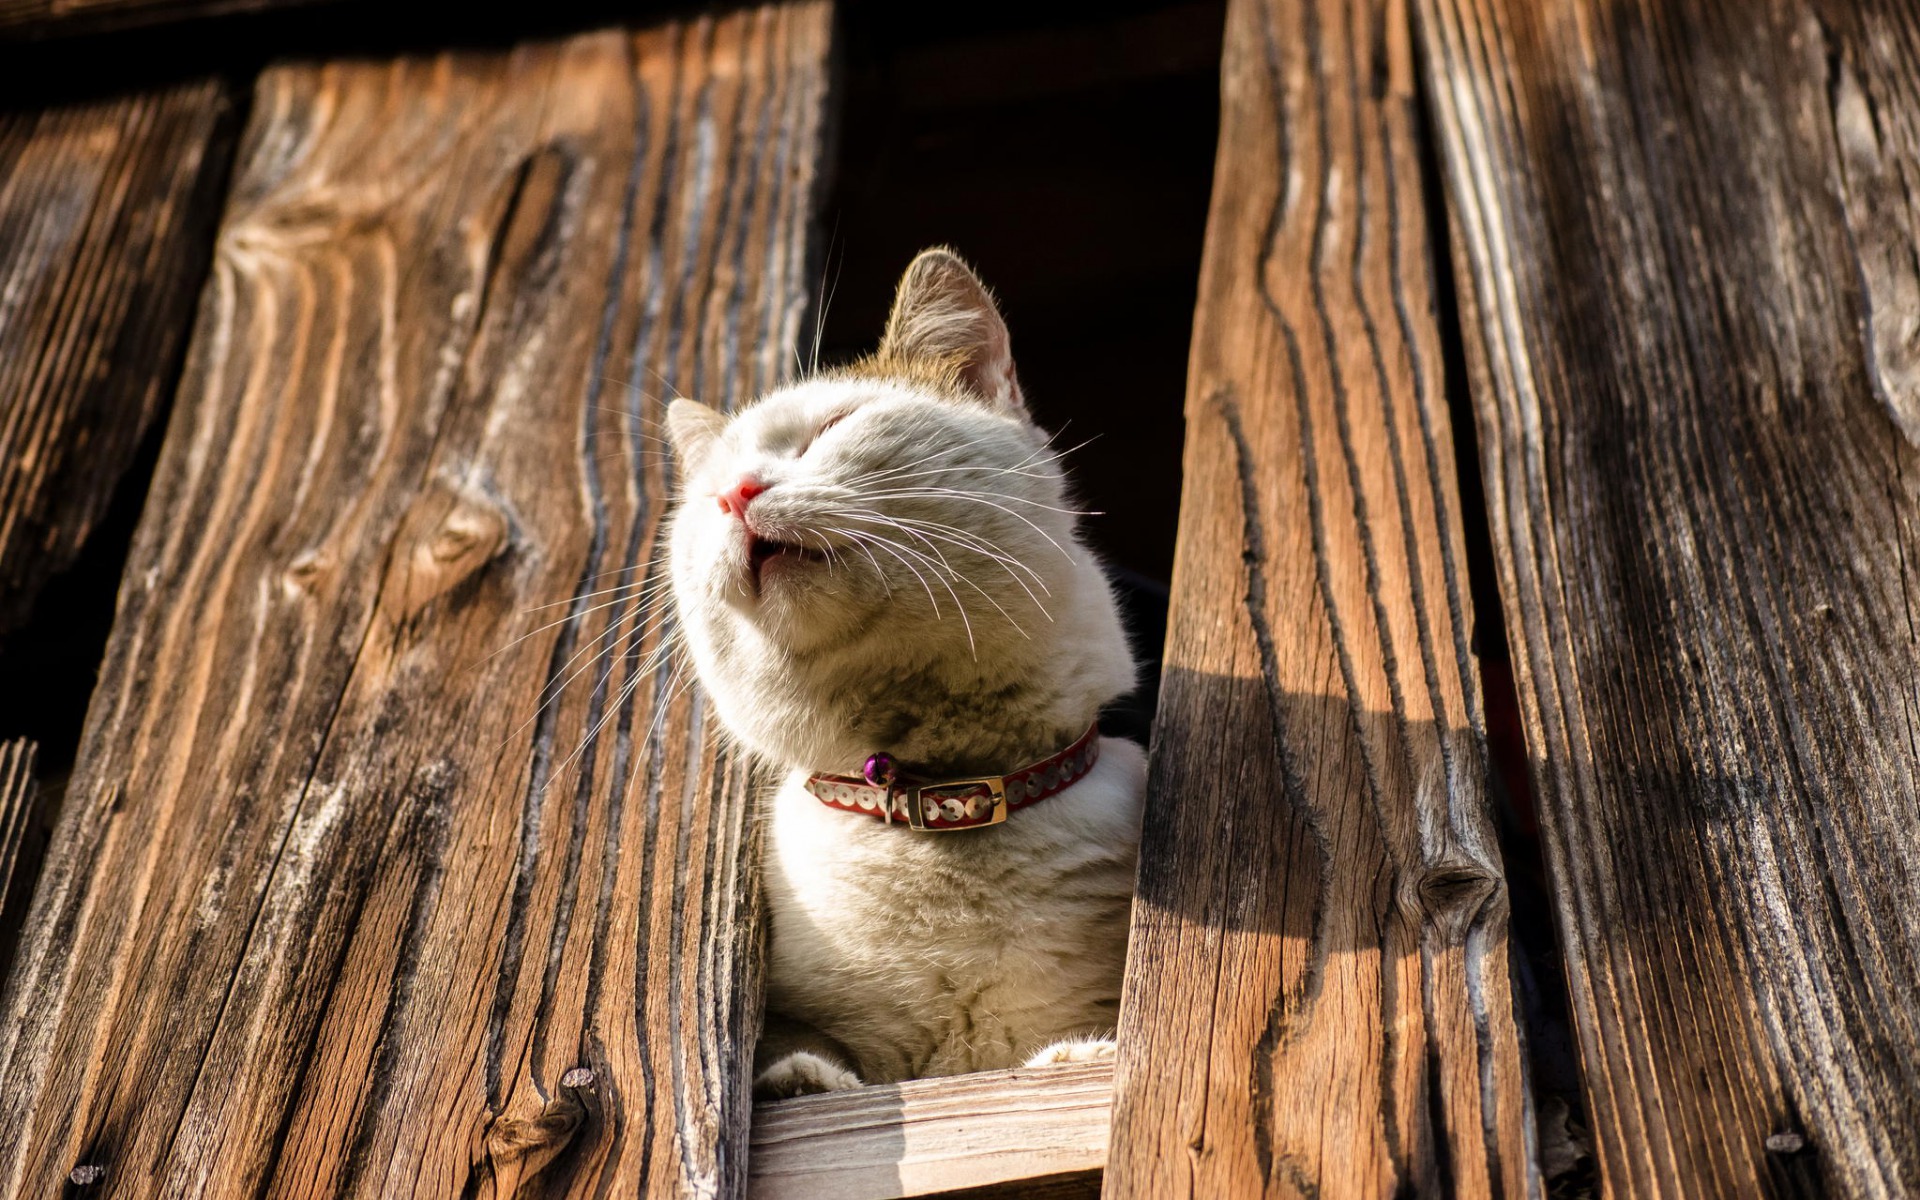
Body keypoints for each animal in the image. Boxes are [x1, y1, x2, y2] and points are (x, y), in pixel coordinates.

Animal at [664, 245, 1136, 1098]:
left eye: (832, 427)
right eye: (707, 493)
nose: (734, 494)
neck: (934, 802)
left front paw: (1079, 1056)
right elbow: (810, 1055)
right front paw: (800, 1079)